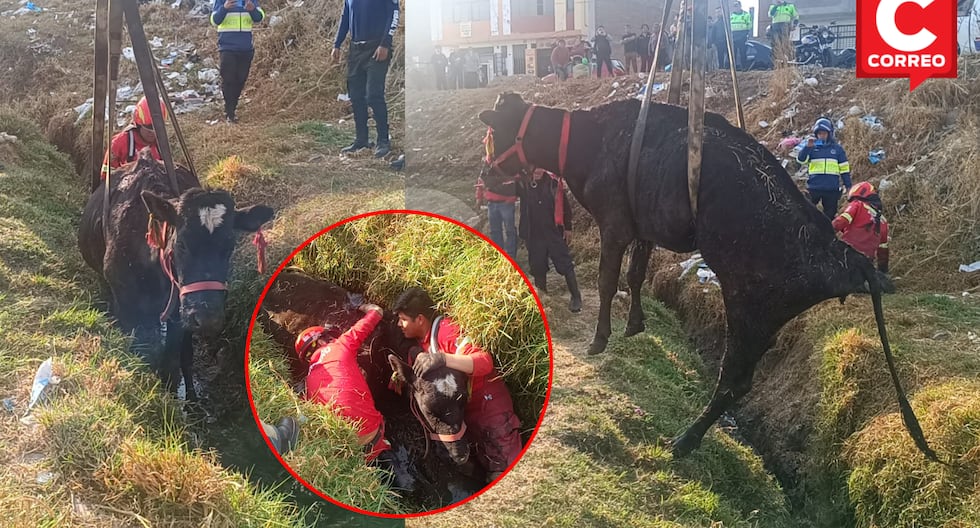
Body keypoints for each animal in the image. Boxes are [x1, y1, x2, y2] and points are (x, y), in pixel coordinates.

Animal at [77, 148, 272, 396]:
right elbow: (145, 355)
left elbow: (177, 360)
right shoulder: (128, 308)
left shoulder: (181, 312)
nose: (207, 317)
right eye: (182, 244)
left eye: (230, 245)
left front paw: (188, 399)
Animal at [478, 93, 936, 460]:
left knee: (734, 381)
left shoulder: (615, 222)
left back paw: (686, 440)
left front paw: (600, 337)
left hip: (749, 305)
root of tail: (844, 256)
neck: (589, 143)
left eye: (493, 135)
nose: (485, 176)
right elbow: (636, 276)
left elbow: (609, 281)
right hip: (764, 317)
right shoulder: (644, 228)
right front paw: (635, 323)